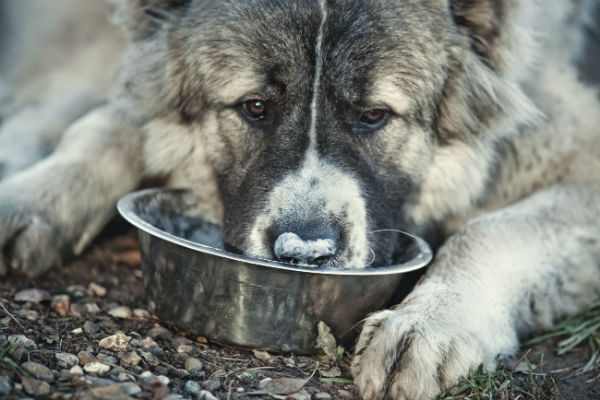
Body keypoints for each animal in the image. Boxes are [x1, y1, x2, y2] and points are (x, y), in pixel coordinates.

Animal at [1, 0, 600, 400]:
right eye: (255, 106)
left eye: (373, 115)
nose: (304, 254)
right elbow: (105, 126)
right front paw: (31, 196)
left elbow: (491, 230)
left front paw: (429, 325)